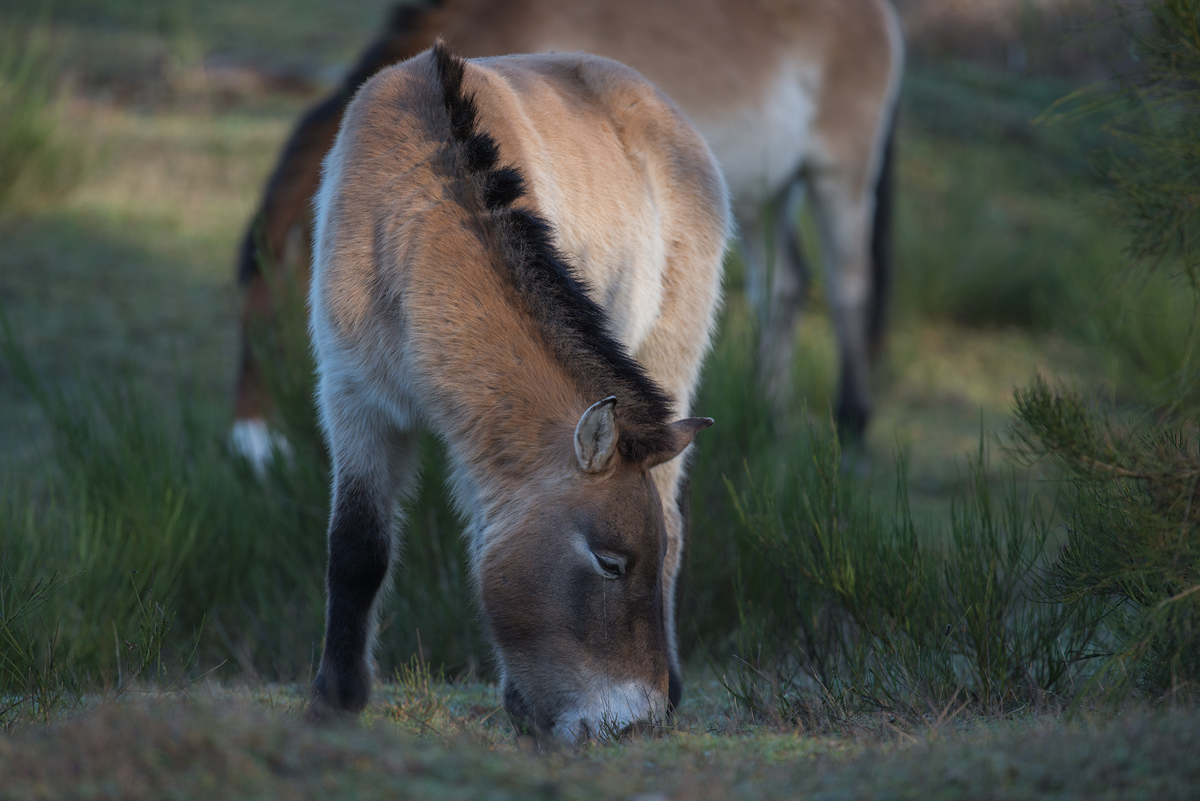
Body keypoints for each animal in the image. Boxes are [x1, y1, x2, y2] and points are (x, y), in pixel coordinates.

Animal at [230, 0, 904, 469]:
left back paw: (854, 425)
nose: (250, 449)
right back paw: (770, 418)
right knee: (784, 288)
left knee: (848, 286)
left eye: (275, 330)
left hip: (838, 175)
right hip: (766, 192)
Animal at [306, 43, 729, 742]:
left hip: (669, 357)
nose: (635, 723)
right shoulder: (356, 403)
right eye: (609, 562)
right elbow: (356, 549)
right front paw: (334, 701)